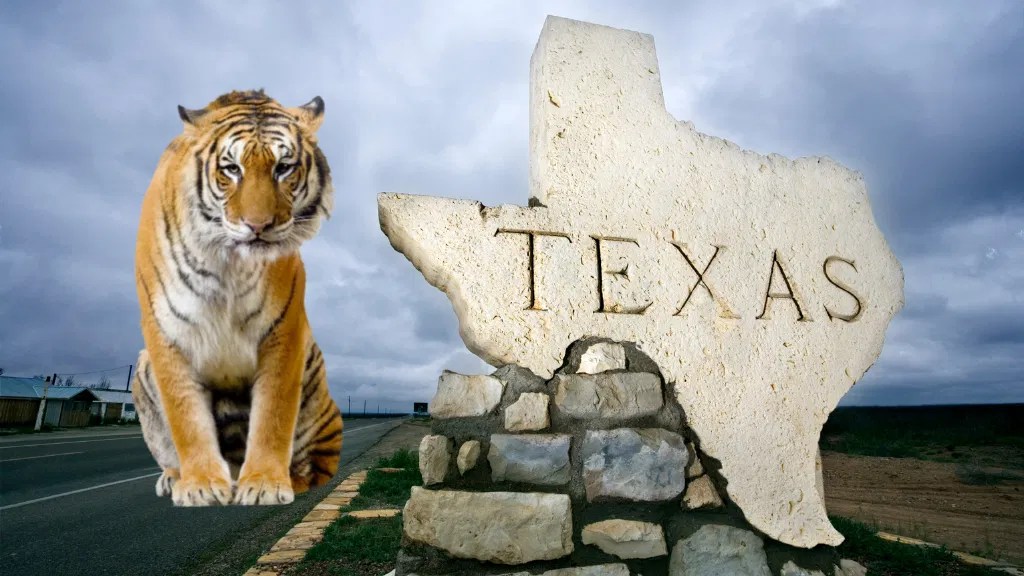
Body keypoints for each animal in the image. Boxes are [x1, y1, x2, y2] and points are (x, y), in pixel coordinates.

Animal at [131, 89, 342, 507]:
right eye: (231, 169)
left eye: (283, 167)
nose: (258, 226)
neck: (227, 263)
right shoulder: (166, 335)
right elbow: (186, 417)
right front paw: (200, 486)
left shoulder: (283, 331)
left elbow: (273, 415)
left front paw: (263, 484)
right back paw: (174, 478)